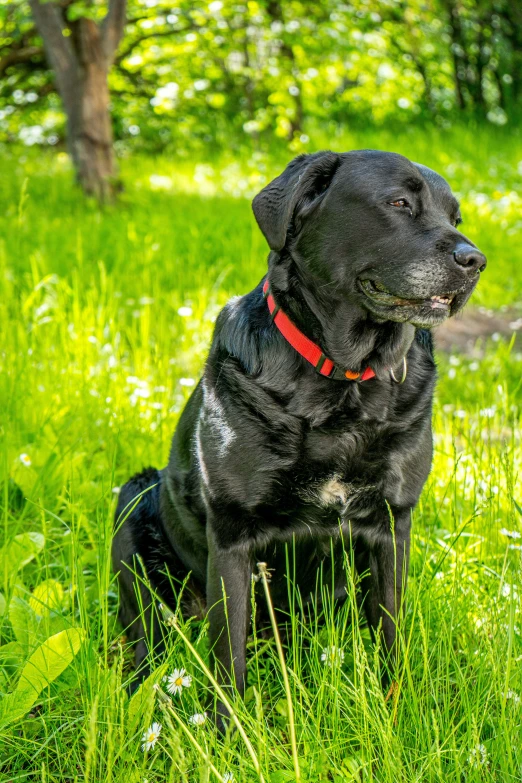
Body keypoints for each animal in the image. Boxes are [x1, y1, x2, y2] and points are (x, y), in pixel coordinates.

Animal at [110, 150, 484, 724]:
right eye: (400, 203)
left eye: (455, 218)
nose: (476, 260)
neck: (344, 383)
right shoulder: (232, 535)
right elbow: (228, 658)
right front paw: (229, 734)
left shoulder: (393, 524)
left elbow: (391, 636)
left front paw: (394, 714)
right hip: (133, 505)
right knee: (146, 638)